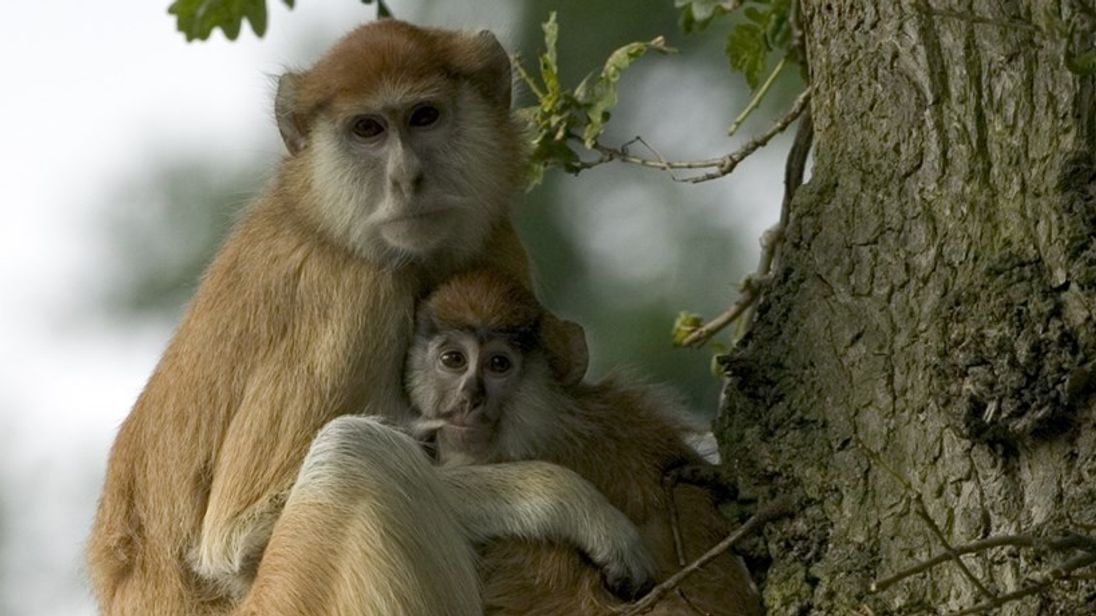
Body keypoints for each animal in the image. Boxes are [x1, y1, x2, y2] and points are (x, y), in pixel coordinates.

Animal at [87, 19, 648, 613]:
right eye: (367, 129)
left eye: (424, 116)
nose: (407, 179)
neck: (325, 219)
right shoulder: (355, 297)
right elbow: (237, 542)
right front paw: (570, 504)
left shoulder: (493, 238)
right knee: (354, 457)